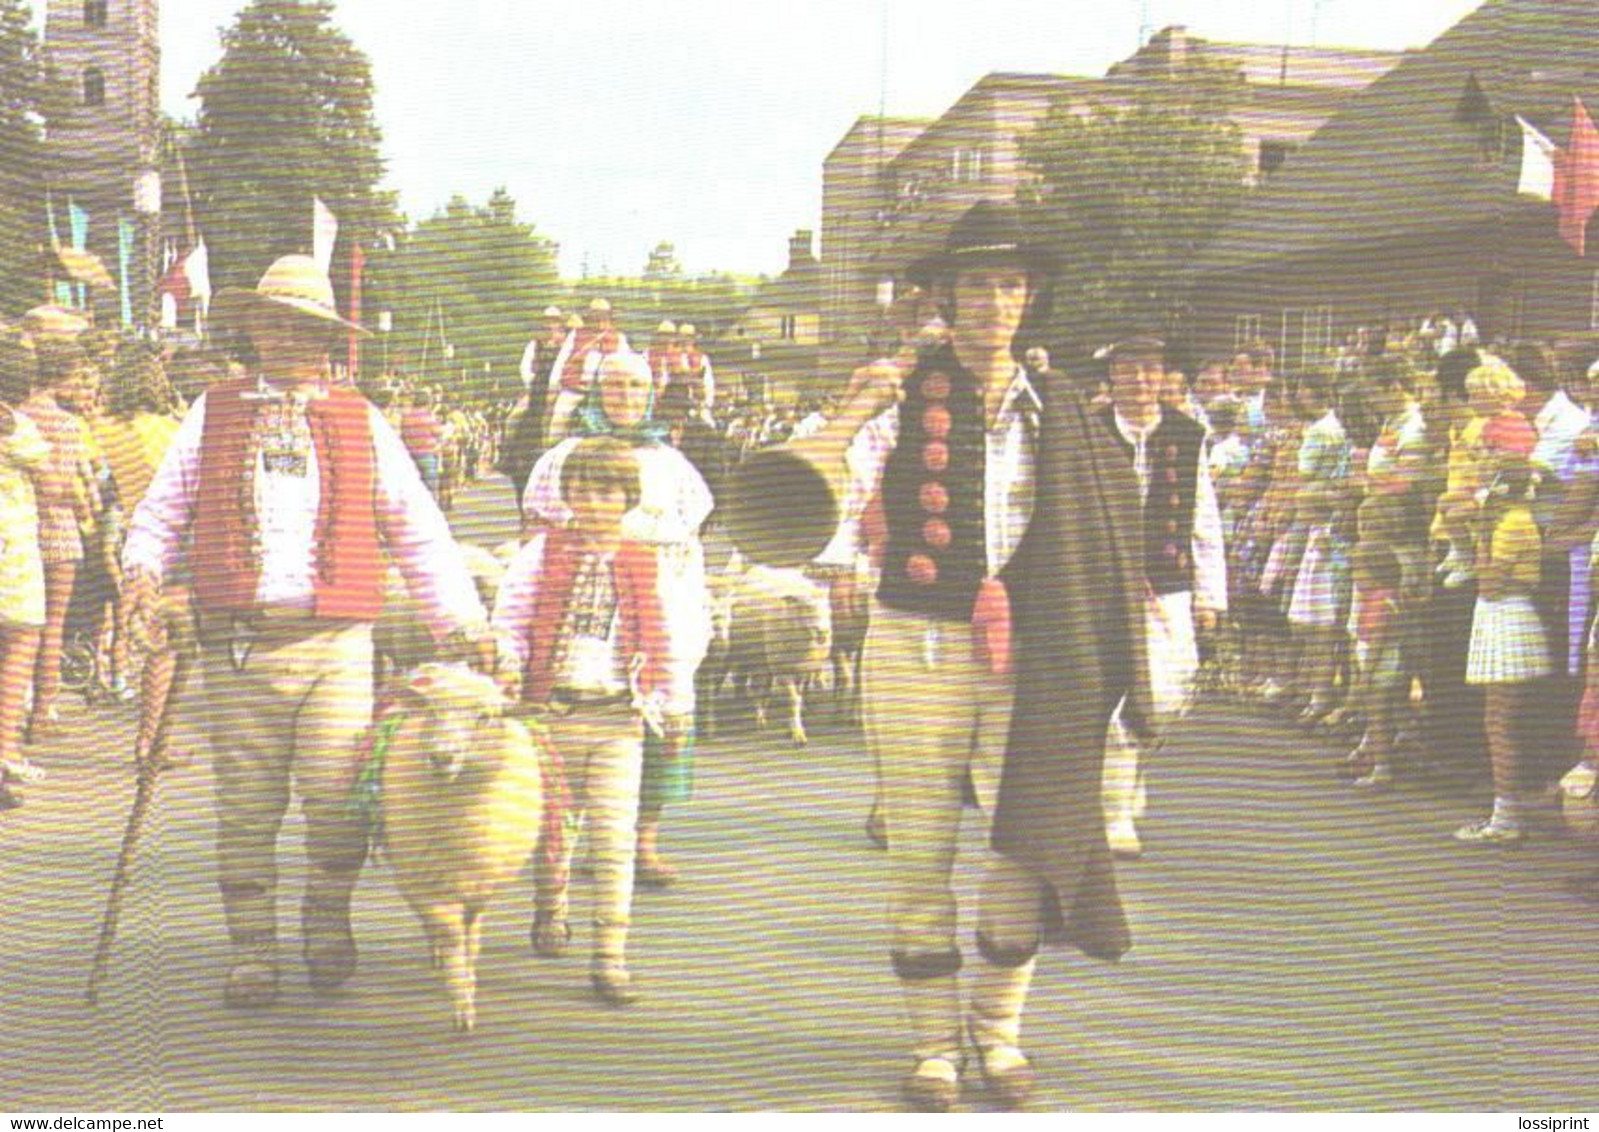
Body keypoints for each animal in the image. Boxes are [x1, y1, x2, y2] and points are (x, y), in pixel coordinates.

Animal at [378, 661, 550, 1036]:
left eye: (484, 717)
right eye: (430, 711)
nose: (442, 756)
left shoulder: (480, 884)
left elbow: (471, 934)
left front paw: (468, 980)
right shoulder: (426, 881)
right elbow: (451, 934)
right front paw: (461, 1002)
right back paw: (437, 952)